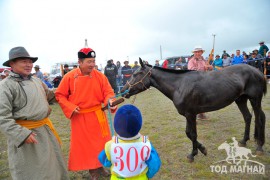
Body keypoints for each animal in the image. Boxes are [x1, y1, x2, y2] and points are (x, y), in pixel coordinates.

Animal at [121, 58, 266, 162]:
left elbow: (193, 134)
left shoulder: (191, 114)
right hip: (241, 100)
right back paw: (244, 141)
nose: (123, 91)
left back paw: (259, 147)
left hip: (255, 99)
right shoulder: (187, 114)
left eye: (136, 74)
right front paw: (202, 149)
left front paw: (193, 154)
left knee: (259, 119)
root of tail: (258, 71)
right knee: (248, 117)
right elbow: (188, 133)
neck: (179, 86)